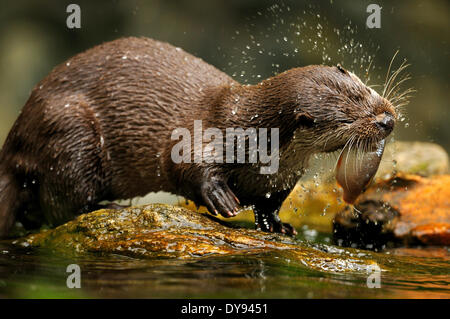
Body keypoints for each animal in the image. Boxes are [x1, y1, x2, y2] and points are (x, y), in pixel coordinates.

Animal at [0, 37, 396, 238]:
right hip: (71, 131)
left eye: (364, 90)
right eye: (346, 117)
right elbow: (187, 163)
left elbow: (270, 205)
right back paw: (108, 207)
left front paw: (279, 226)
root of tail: (14, 139)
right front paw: (222, 199)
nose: (387, 120)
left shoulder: (283, 180)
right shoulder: (205, 133)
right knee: (60, 203)